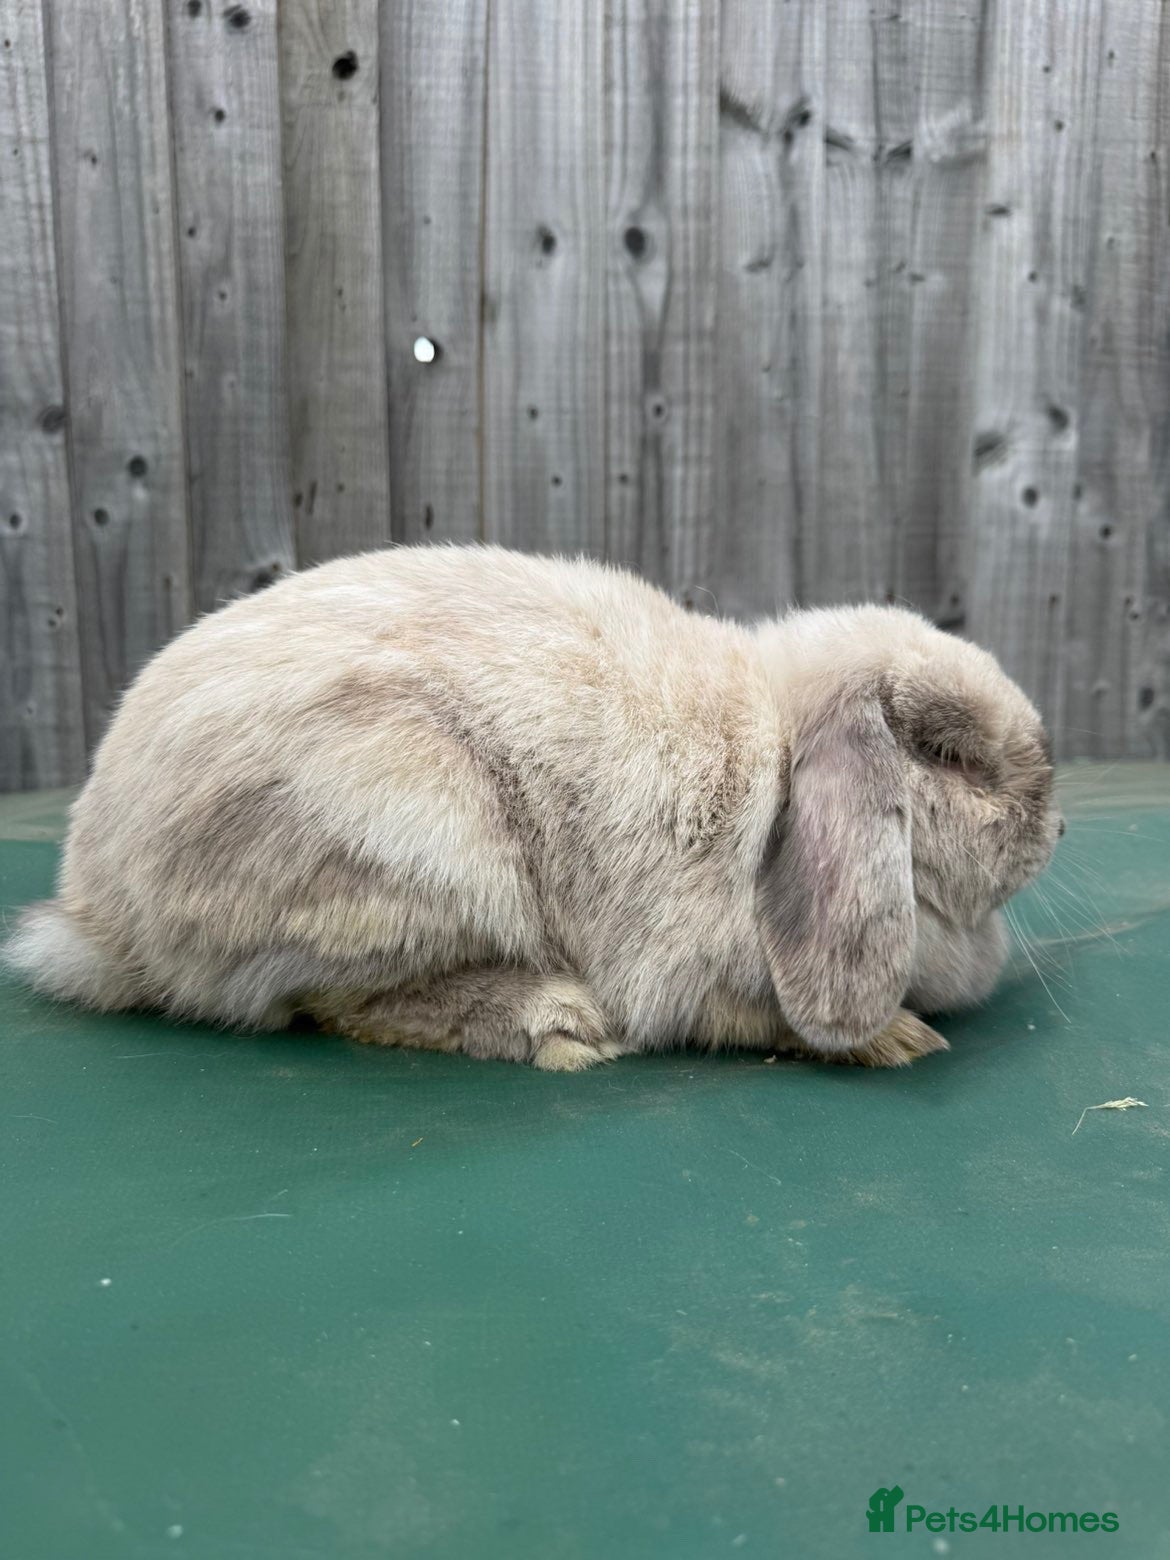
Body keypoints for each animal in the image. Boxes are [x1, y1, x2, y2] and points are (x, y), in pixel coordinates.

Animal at [4, 544, 1062, 1070]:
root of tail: (98, 913)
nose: (1056, 826)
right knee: (330, 1004)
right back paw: (559, 1024)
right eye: (951, 756)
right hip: (415, 838)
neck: (775, 767)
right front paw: (897, 1039)